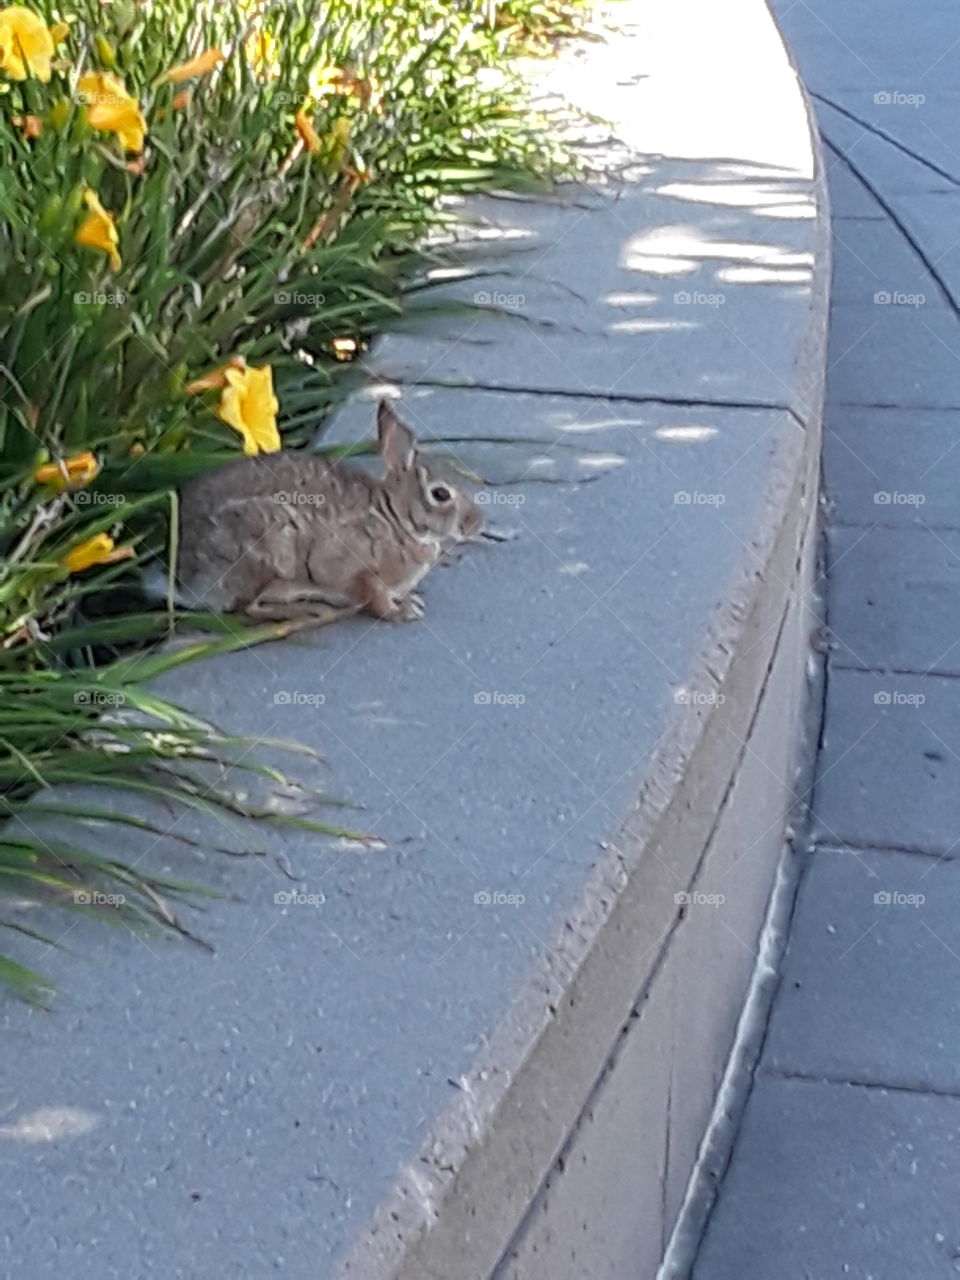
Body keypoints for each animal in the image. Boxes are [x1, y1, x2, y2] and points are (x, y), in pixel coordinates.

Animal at [167, 399, 483, 624]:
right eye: (440, 494)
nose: (477, 523)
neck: (395, 518)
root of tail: (186, 580)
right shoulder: (365, 574)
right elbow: (376, 600)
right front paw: (403, 613)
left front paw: (411, 602)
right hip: (268, 554)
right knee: (248, 608)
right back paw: (310, 611)